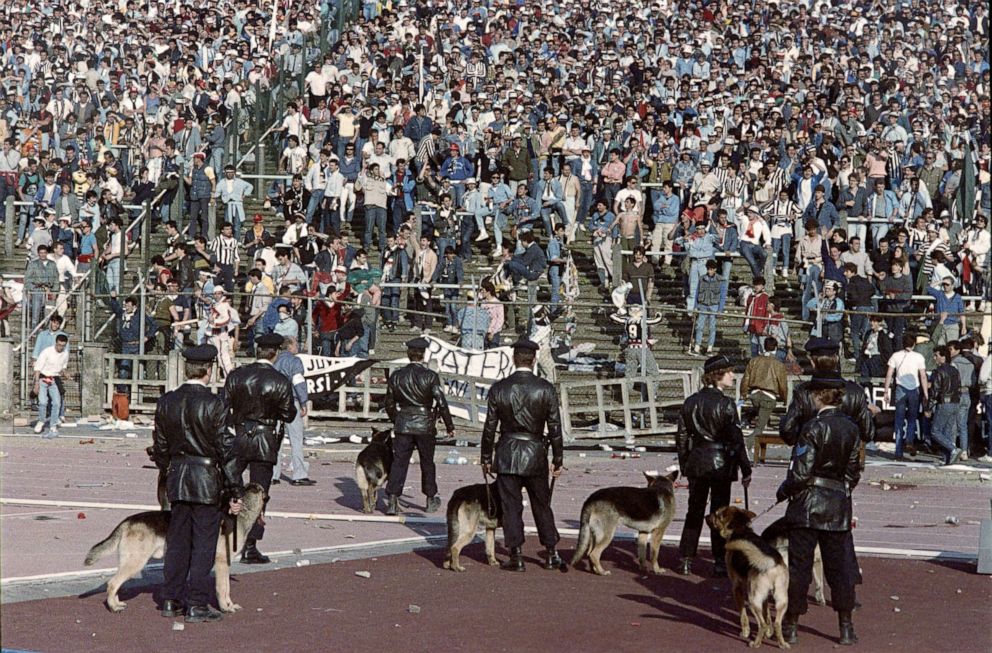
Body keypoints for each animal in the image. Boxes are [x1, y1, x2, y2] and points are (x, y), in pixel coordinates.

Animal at [83, 478, 266, 612]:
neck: (241, 514)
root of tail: (127, 521)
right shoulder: (221, 564)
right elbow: (223, 589)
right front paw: (225, 608)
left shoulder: (225, 565)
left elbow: (227, 588)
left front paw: (230, 605)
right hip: (135, 563)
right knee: (112, 584)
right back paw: (113, 607)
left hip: (129, 562)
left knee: (115, 584)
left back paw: (116, 603)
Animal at [704, 504, 792, 648]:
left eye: (716, 514)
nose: (706, 516)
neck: (740, 528)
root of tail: (771, 562)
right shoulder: (765, 597)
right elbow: (767, 614)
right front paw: (769, 633)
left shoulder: (737, 587)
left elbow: (742, 614)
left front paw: (745, 632)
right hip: (781, 600)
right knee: (776, 623)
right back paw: (782, 643)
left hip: (753, 600)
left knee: (761, 624)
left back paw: (755, 643)